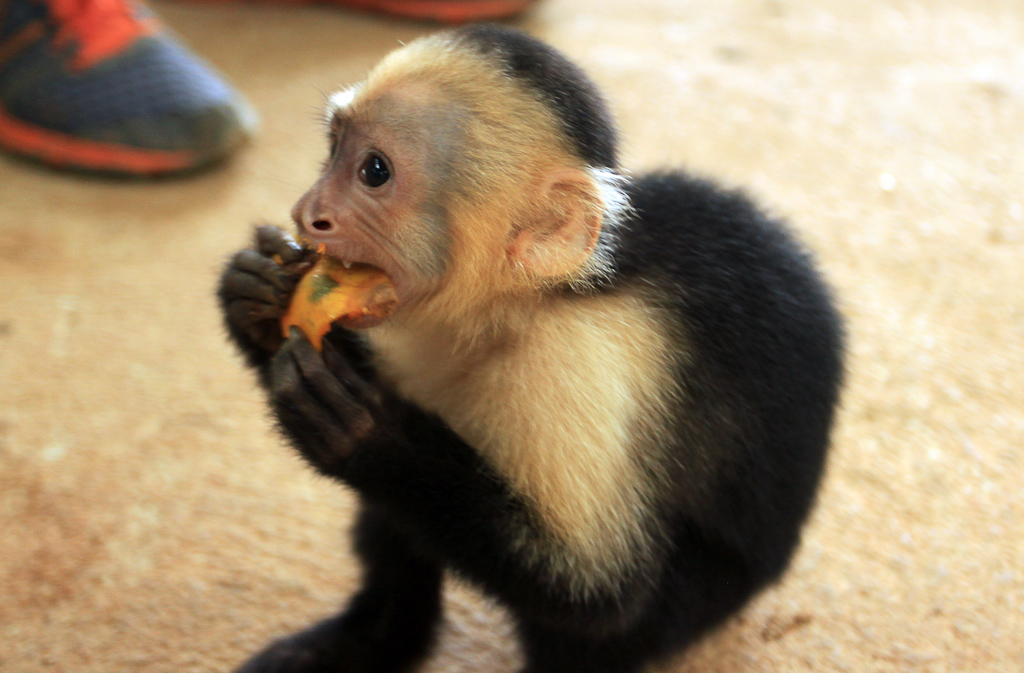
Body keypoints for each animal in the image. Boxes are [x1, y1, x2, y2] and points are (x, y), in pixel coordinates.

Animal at [217, 24, 844, 673]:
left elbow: (598, 591)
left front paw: (367, 435)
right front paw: (255, 302)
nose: (308, 213)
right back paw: (374, 640)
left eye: (374, 172)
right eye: (333, 148)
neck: (519, 304)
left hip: (713, 597)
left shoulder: (575, 360)